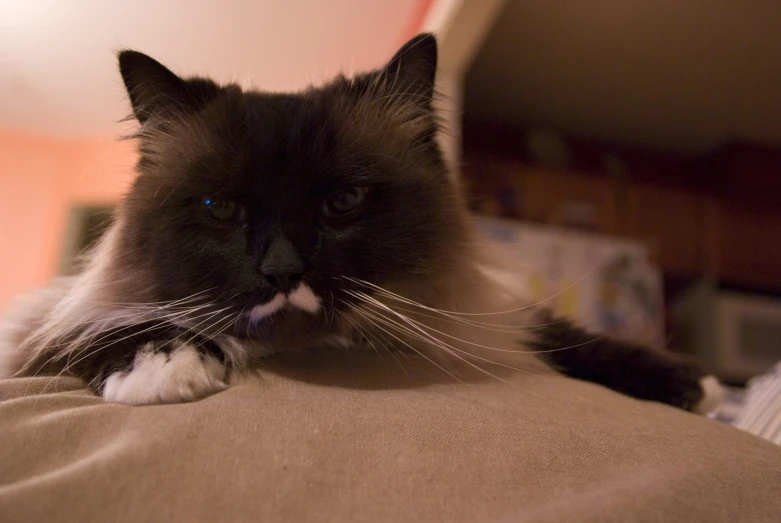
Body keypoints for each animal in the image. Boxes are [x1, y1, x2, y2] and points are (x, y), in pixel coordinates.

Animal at [0, 34, 724, 414]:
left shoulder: (484, 316)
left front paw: (696, 386)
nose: (283, 270)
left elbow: (559, 335)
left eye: (343, 202)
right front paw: (166, 370)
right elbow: (100, 327)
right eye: (222, 210)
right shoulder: (46, 323)